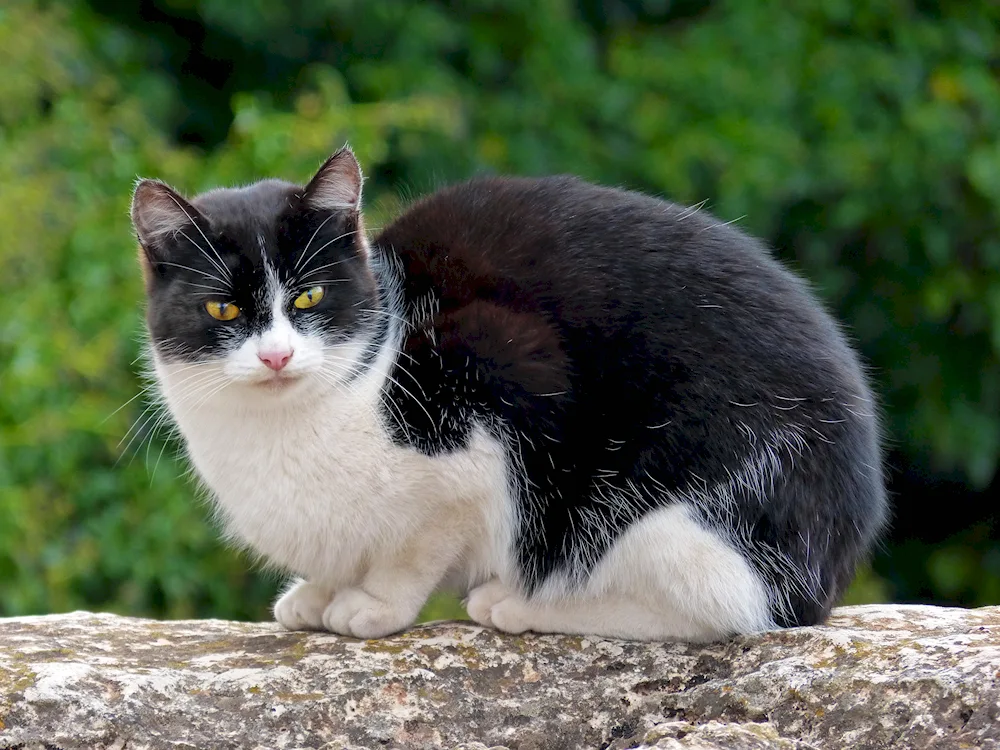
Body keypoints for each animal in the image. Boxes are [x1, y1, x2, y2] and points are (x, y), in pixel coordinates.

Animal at [129, 148, 888, 648]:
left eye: (309, 296)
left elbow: (421, 542)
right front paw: (318, 593)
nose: (277, 355)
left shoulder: (500, 383)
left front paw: (371, 603)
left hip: (675, 508)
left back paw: (520, 603)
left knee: (723, 607)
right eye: (223, 309)